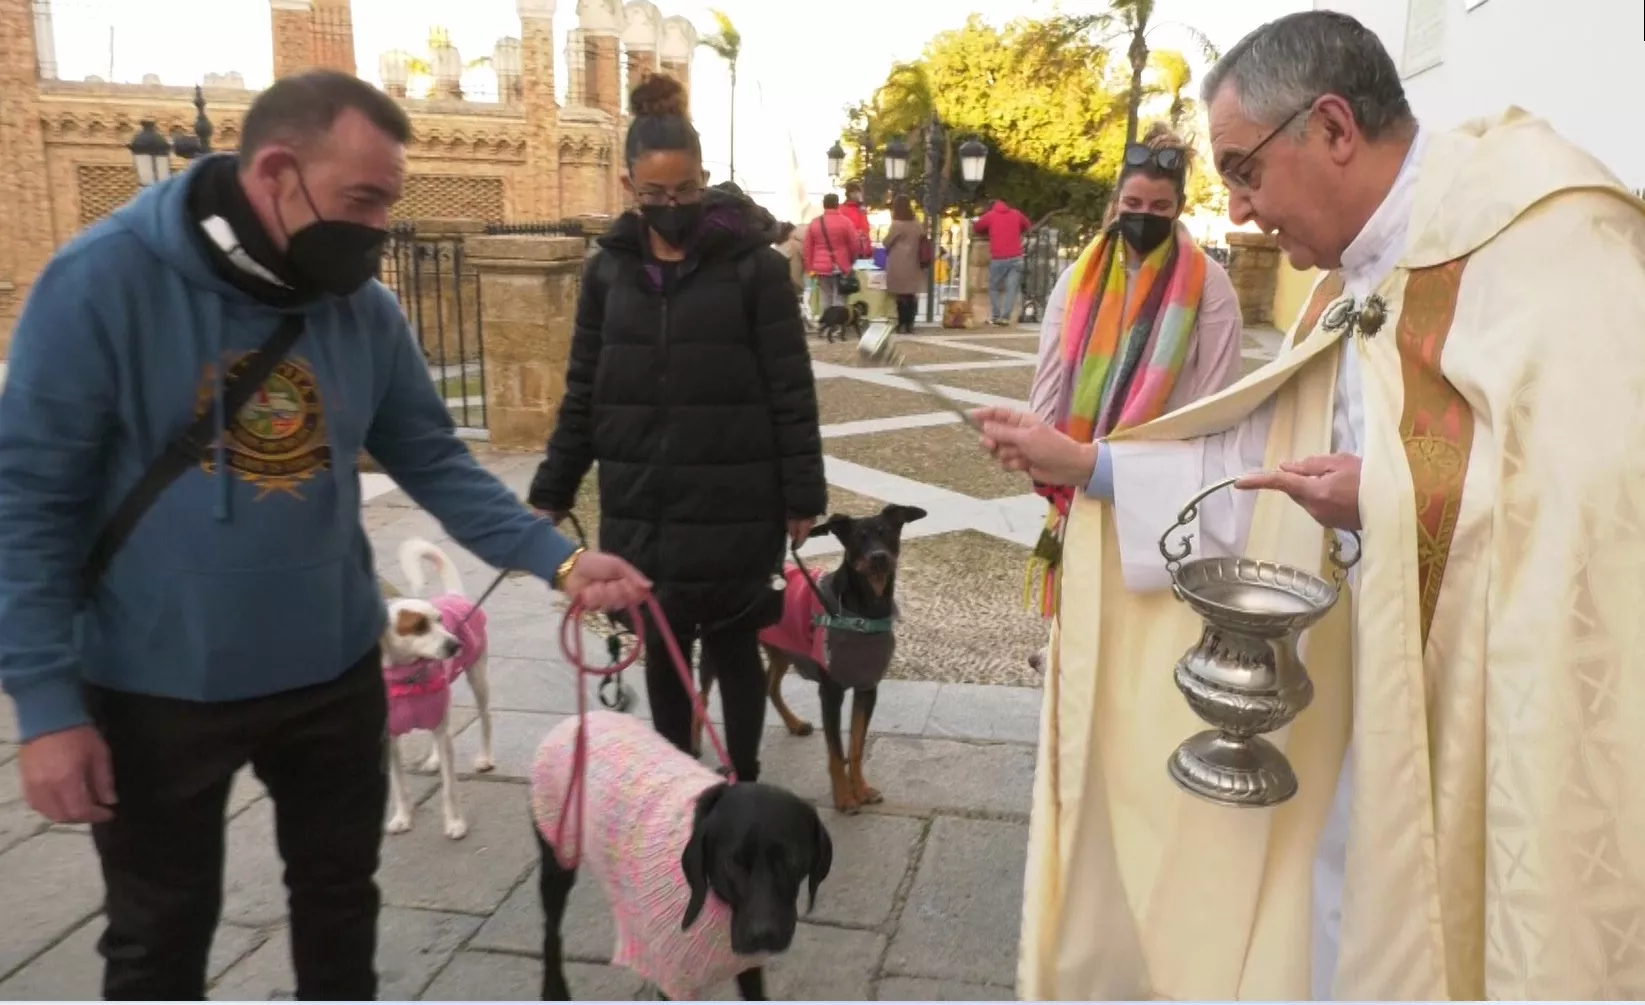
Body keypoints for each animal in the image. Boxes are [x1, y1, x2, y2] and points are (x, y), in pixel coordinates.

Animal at [694, 506, 927, 812]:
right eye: (857, 538)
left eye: (886, 533)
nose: (879, 557)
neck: (865, 609)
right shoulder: (831, 691)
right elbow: (836, 751)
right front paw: (844, 798)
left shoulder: (867, 687)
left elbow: (855, 747)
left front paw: (862, 790)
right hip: (717, 650)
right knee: (701, 697)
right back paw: (694, 747)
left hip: (782, 647)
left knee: (770, 687)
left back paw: (794, 724)